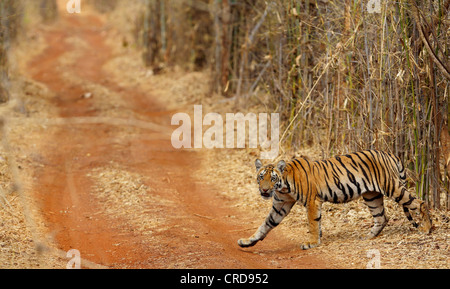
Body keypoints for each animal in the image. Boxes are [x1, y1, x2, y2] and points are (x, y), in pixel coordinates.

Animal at [239, 150, 432, 249]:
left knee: (420, 203)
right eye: (261, 177)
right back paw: (368, 237)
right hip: (371, 195)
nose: (264, 190)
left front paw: (311, 242)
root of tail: (390, 153)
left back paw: (428, 228)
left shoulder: (312, 201)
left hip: (392, 187)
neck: (284, 186)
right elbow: (266, 224)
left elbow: (312, 223)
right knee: (382, 217)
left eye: (272, 178)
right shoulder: (281, 205)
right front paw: (248, 241)